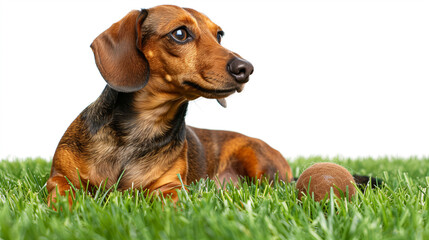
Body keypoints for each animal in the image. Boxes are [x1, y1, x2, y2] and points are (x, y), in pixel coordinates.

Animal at [47, 4, 294, 206]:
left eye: (219, 35)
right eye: (180, 33)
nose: (246, 68)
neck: (143, 128)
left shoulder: (170, 187)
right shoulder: (59, 176)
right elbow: (62, 191)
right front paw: (65, 211)